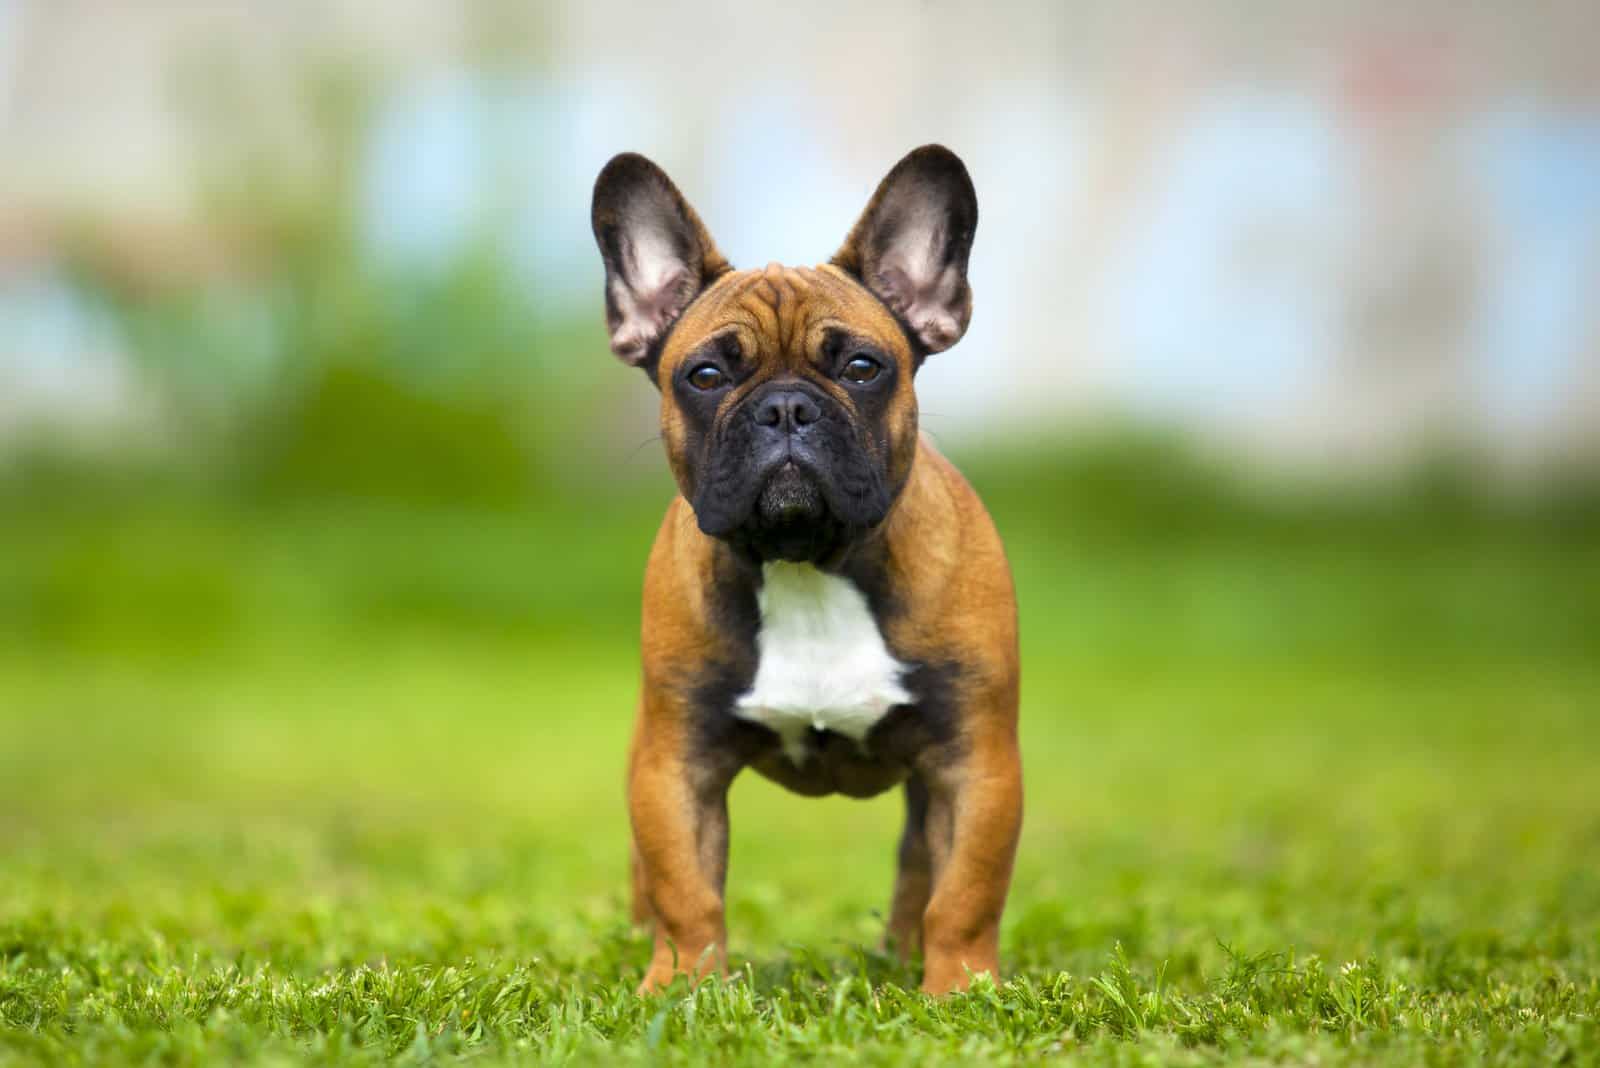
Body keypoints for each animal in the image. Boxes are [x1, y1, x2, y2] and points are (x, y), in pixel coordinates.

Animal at [592, 141, 1024, 991]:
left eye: (862, 367)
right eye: (705, 376)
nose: (786, 407)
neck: (807, 565)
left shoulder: (977, 763)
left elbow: (964, 891)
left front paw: (960, 990)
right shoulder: (675, 766)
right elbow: (686, 890)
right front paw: (683, 986)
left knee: (919, 869)